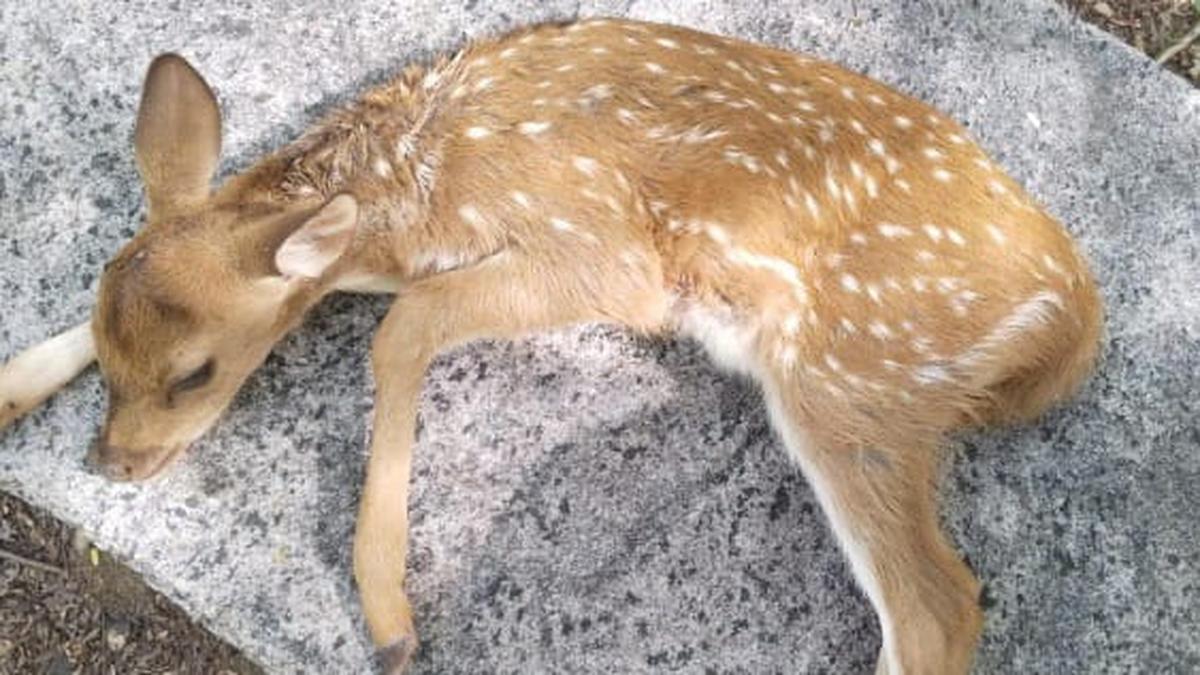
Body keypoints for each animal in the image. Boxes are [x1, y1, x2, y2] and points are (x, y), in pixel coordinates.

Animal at [0, 16, 1102, 674]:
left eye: (195, 373)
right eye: (110, 349)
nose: (112, 462)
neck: (412, 188)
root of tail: (1072, 311)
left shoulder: (606, 254)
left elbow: (402, 332)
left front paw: (391, 616)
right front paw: (15, 388)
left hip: (856, 374)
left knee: (938, 607)